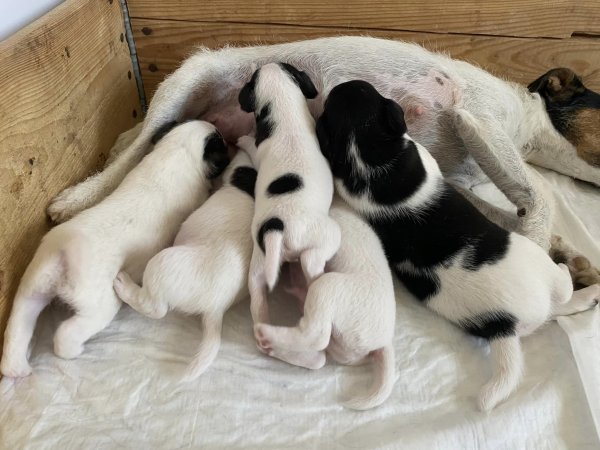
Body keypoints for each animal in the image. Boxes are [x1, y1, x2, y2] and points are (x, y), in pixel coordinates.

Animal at [1, 120, 229, 378]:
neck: (177, 148)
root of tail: (65, 255)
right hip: (100, 306)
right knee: (66, 334)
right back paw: (73, 351)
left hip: (31, 289)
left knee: (17, 330)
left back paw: (17, 369)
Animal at [45, 36, 600, 286]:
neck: (528, 123)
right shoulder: (478, 118)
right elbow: (538, 195)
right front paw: (540, 253)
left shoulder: (455, 176)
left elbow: (504, 209)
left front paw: (563, 253)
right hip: (185, 82)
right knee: (129, 154)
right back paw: (77, 197)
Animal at [235, 62, 341, 324]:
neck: (284, 110)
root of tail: (277, 226)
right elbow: (251, 145)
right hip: (326, 236)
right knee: (311, 263)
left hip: (261, 262)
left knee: (257, 298)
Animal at [254, 196, 396, 410]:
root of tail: (384, 343)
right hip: (343, 350)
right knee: (320, 349)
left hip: (328, 288)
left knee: (315, 336)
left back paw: (266, 333)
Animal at [315, 80, 600, 411]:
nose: (344, 84)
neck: (366, 155)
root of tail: (504, 324)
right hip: (537, 265)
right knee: (560, 291)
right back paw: (571, 274)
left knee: (557, 308)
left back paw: (588, 292)